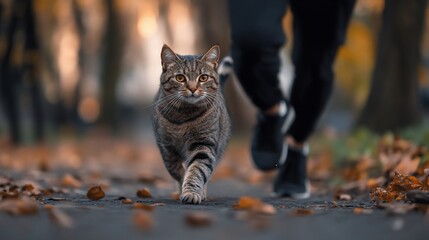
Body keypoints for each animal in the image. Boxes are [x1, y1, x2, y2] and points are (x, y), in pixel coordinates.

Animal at [151, 44, 229, 203]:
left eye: (203, 77)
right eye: (180, 77)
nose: (193, 88)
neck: (184, 116)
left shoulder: (204, 145)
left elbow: (196, 171)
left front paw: (191, 192)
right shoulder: (166, 146)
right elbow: (175, 170)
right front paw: (182, 185)